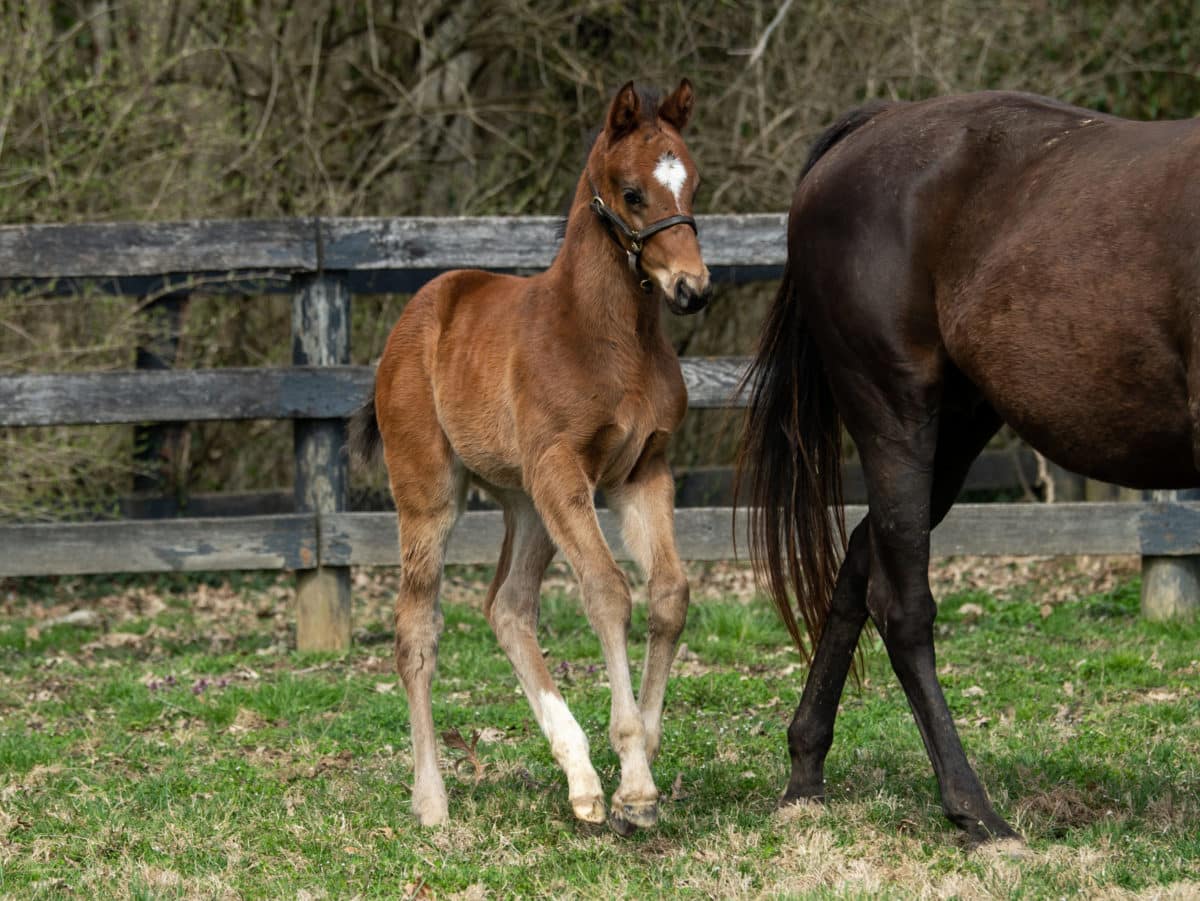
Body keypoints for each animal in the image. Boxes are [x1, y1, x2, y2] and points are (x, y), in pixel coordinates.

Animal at [348, 79, 705, 830]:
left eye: (692, 182)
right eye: (632, 191)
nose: (693, 288)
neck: (609, 338)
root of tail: (417, 313)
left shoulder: (642, 472)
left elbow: (668, 592)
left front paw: (639, 760)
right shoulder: (564, 467)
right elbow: (607, 591)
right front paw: (635, 779)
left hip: (526, 501)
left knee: (507, 607)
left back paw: (581, 778)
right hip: (432, 493)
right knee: (416, 629)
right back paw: (432, 798)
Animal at [739, 95, 1200, 849]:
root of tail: (870, 128)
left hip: (958, 426)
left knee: (860, 561)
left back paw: (806, 770)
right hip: (897, 414)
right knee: (903, 609)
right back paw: (974, 809)